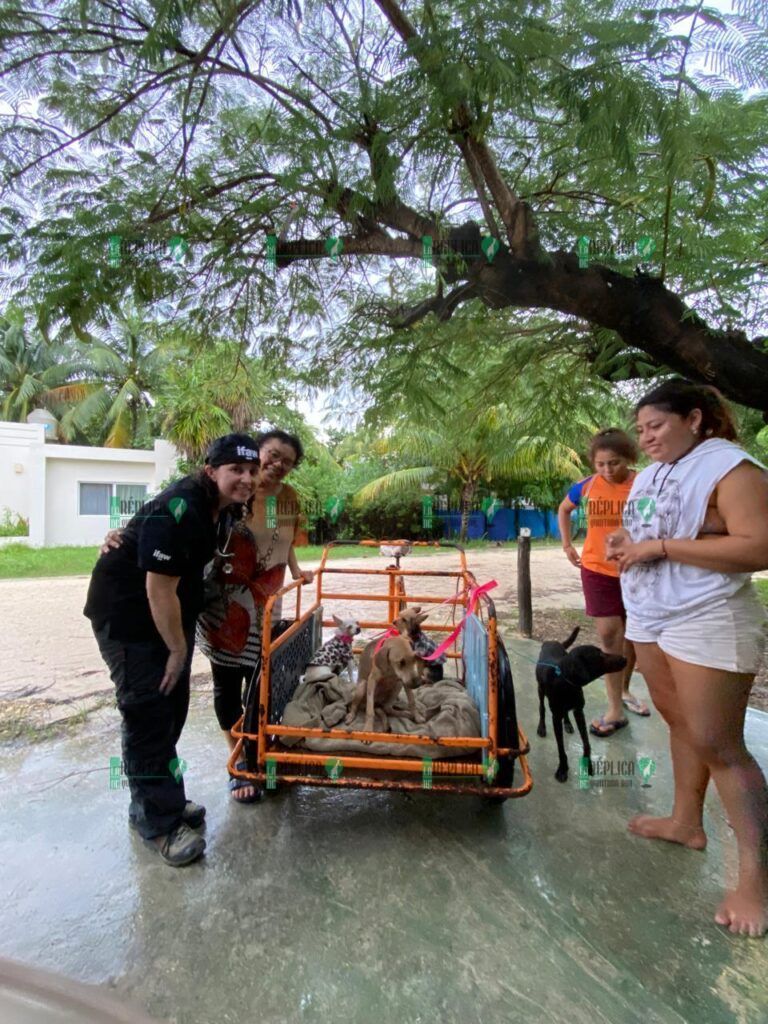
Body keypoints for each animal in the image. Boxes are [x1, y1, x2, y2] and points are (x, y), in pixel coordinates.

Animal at [536, 622, 626, 782]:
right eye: (599, 655)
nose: (625, 659)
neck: (567, 681)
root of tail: (551, 642)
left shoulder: (579, 711)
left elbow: (586, 742)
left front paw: (588, 764)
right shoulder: (556, 717)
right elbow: (561, 747)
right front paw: (563, 769)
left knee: (565, 713)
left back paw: (568, 724)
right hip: (540, 690)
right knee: (542, 708)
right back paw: (542, 727)